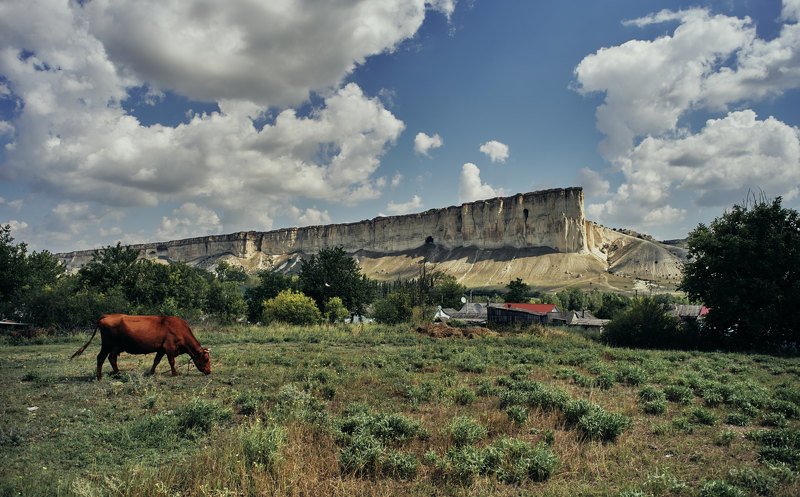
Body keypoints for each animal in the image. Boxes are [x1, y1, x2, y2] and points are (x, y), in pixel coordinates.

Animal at [70, 314, 211, 380]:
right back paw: (99, 377)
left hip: (116, 346)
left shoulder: (161, 349)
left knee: (112, 358)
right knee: (101, 358)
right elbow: (171, 361)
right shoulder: (169, 348)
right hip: (107, 344)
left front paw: (151, 372)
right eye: (206, 359)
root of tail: (107, 315)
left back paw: (118, 374)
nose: (209, 371)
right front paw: (175, 373)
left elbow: (156, 360)